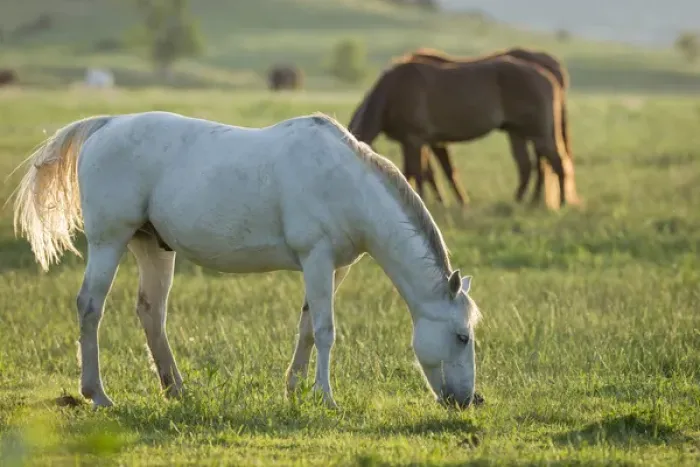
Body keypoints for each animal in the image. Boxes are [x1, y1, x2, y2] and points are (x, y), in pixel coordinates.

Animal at [10, 110, 482, 410]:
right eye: (462, 336)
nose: (469, 401)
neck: (347, 182)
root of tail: (107, 125)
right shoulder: (317, 258)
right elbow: (326, 330)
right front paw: (326, 397)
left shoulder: (333, 269)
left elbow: (307, 328)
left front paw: (294, 391)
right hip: (109, 241)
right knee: (91, 306)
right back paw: (97, 394)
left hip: (151, 246)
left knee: (151, 313)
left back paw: (175, 389)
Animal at [347, 54, 576, 209]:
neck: (392, 91)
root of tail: (548, 76)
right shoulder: (416, 142)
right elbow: (419, 172)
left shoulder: (414, 140)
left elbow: (416, 173)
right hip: (518, 134)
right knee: (529, 166)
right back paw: (522, 201)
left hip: (539, 135)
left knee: (556, 163)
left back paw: (562, 202)